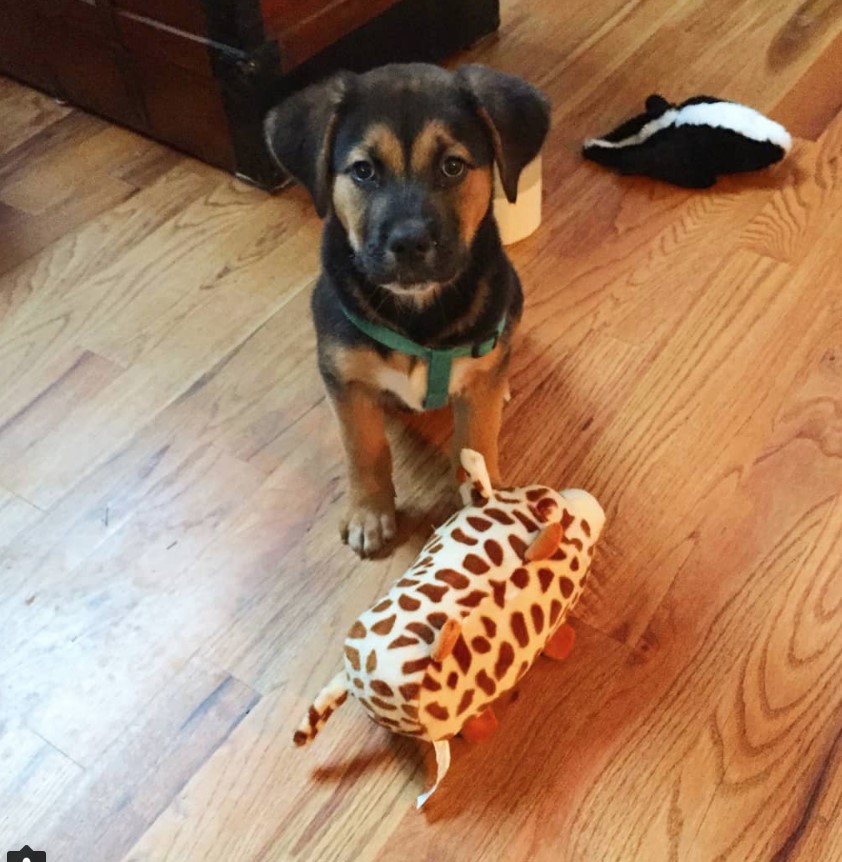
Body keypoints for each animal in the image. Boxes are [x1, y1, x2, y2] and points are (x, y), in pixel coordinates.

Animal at [266, 62, 548, 560]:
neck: (417, 313)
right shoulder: (345, 379)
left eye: (452, 166)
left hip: (512, 293)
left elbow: (477, 440)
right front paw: (370, 513)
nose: (409, 244)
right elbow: (364, 448)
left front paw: (487, 506)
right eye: (363, 171)